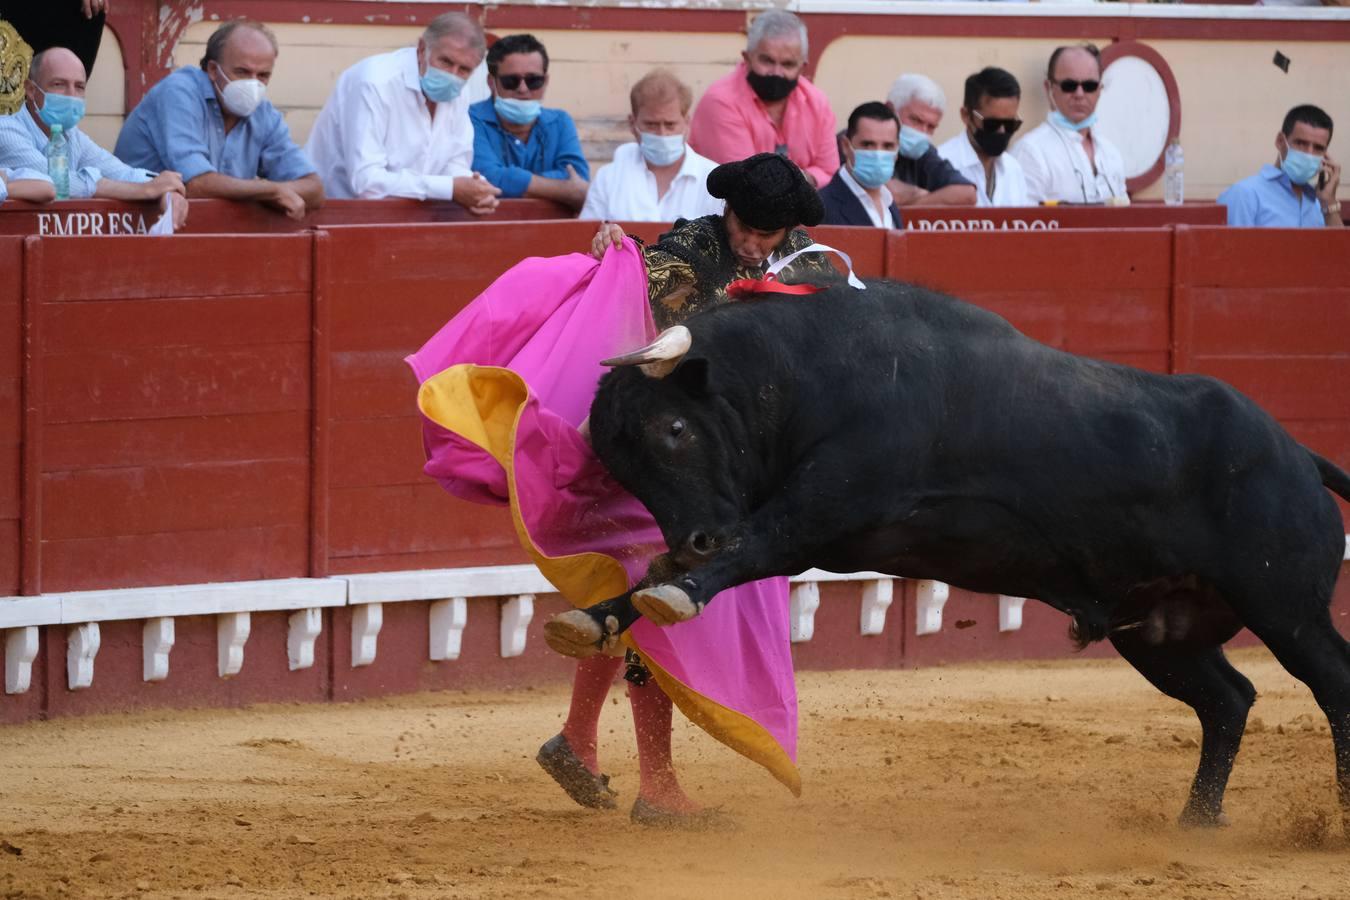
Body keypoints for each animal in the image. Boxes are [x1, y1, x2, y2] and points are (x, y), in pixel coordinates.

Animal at [542, 277, 1350, 825]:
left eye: (674, 430)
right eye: (624, 467)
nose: (694, 540)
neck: (806, 374)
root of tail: (1297, 455)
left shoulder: (825, 508)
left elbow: (751, 544)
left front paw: (673, 592)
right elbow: (669, 574)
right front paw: (593, 617)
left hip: (1284, 606)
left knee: (1330, 681)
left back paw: (1333, 820)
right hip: (1157, 629)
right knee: (1228, 699)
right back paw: (1196, 821)